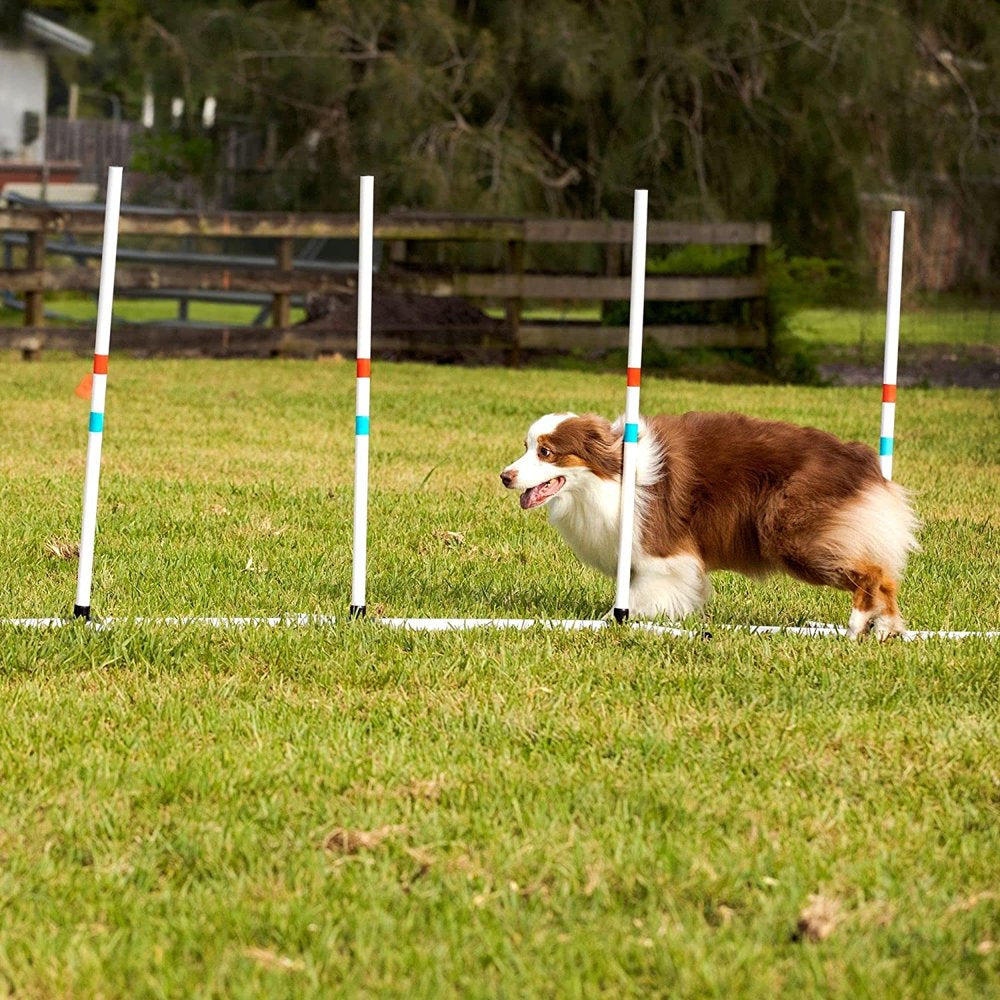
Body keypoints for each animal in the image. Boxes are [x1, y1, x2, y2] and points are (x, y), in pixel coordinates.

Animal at [500, 410, 920, 636]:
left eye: (546, 452)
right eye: (526, 447)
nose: (504, 476)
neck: (611, 476)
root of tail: (860, 461)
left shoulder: (664, 556)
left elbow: (639, 596)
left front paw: (610, 622)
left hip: (793, 537)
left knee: (873, 573)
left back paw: (858, 625)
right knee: (887, 576)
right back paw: (886, 630)